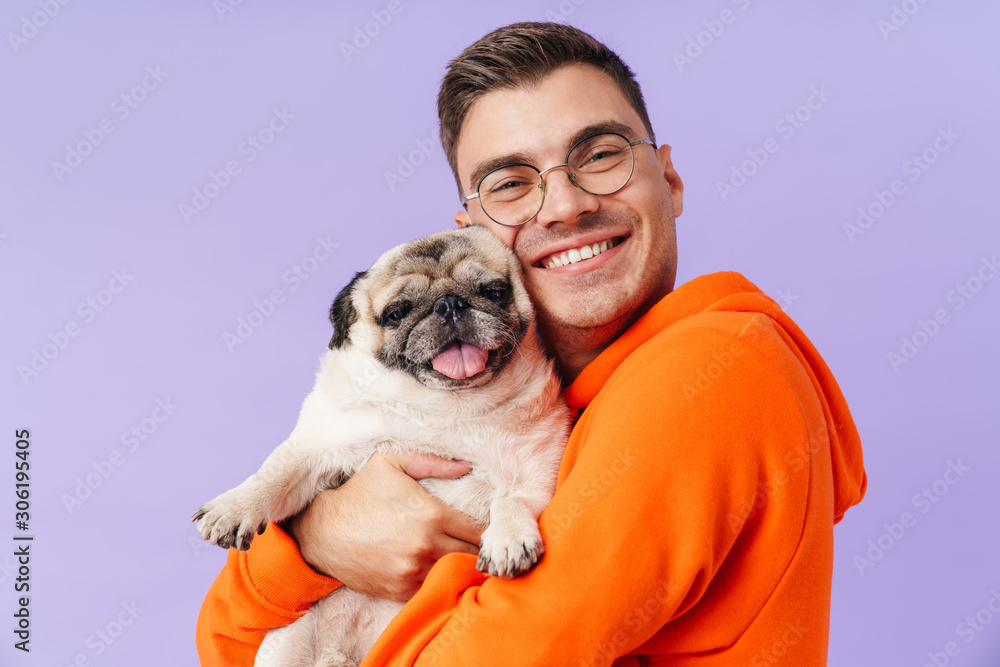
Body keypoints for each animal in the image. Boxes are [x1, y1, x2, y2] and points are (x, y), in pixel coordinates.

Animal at [193, 226, 572, 667]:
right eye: (397, 313)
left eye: (494, 292)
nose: (449, 304)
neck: (448, 410)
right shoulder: (319, 447)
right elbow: (277, 471)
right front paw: (234, 508)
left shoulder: (535, 471)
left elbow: (512, 501)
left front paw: (507, 540)